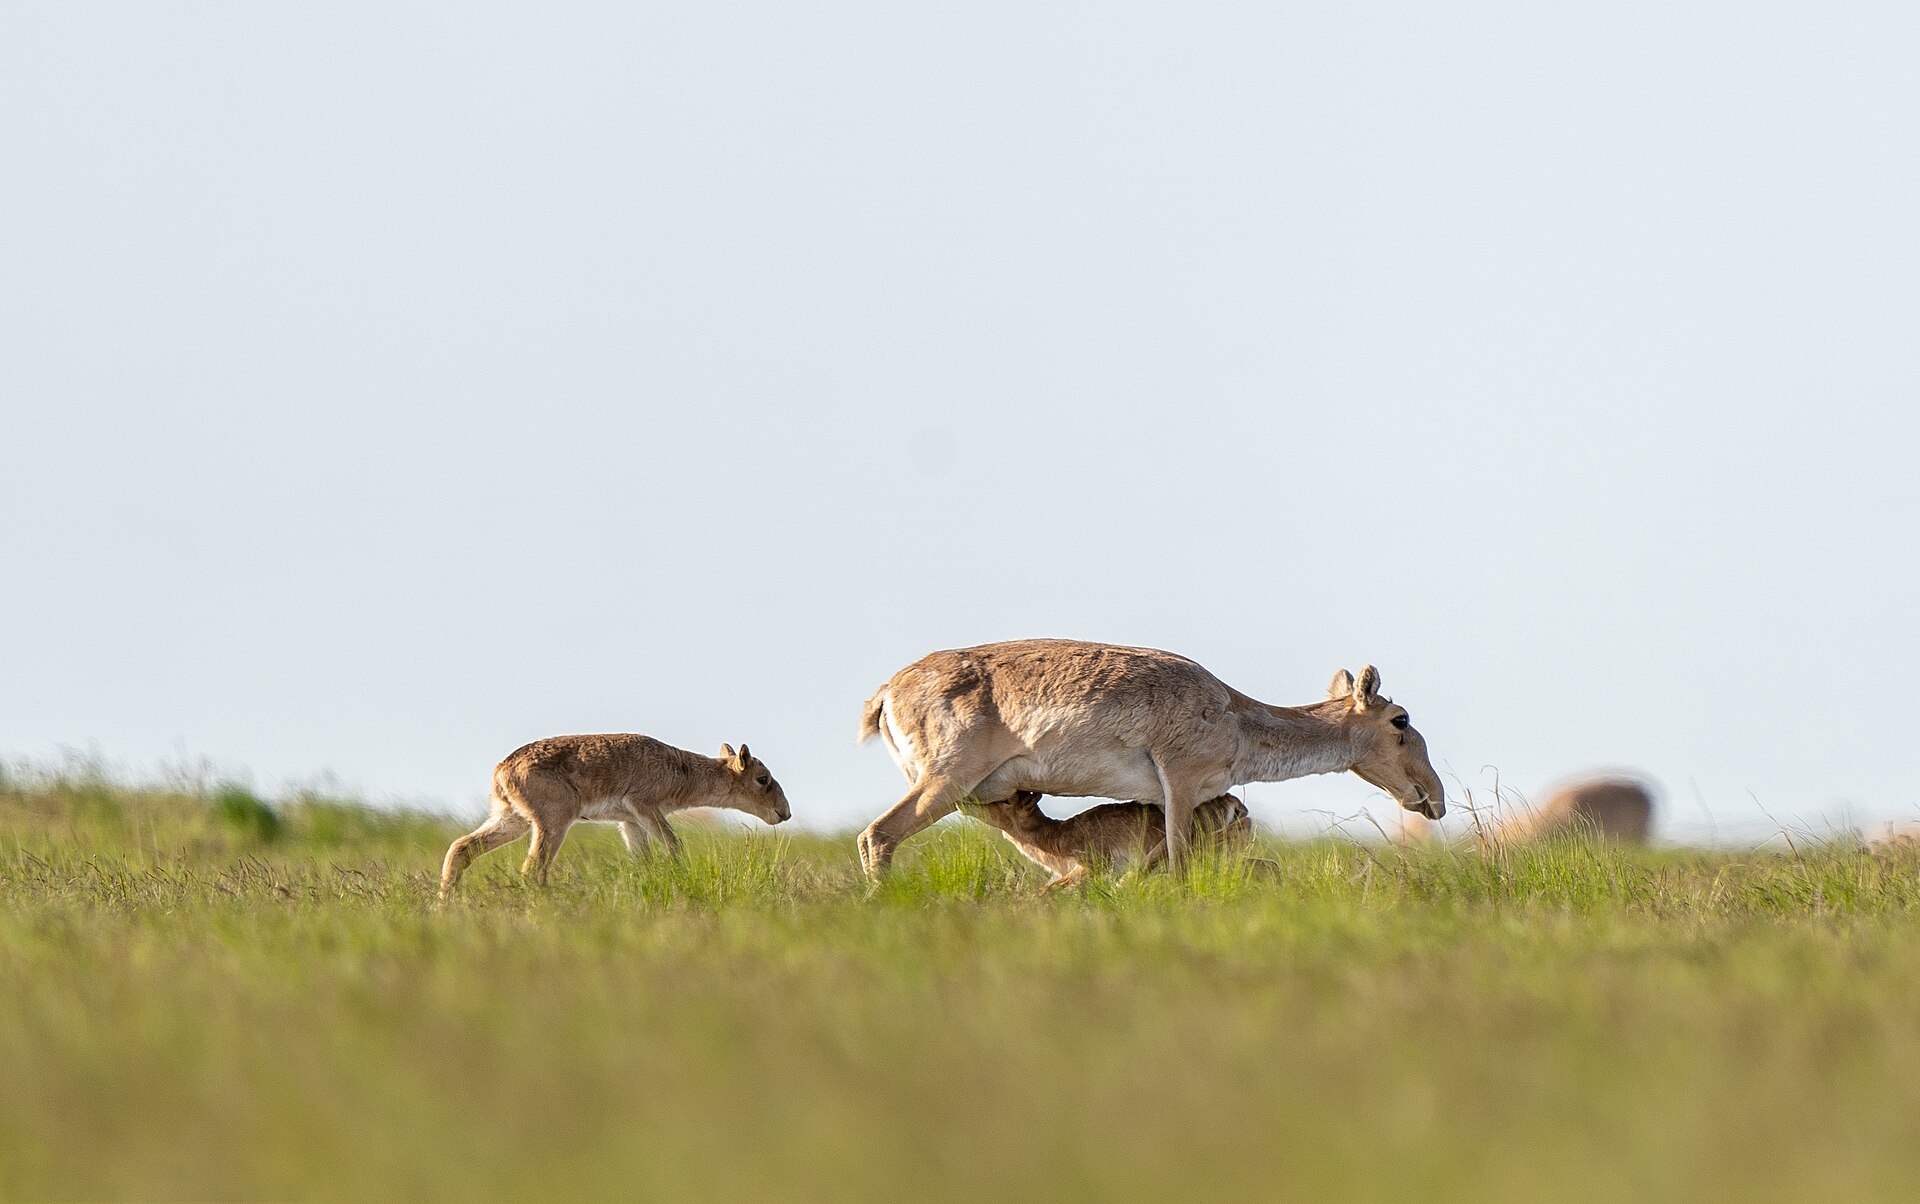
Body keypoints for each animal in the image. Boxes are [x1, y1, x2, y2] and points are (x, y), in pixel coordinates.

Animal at [439, 734, 790, 896]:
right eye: (762, 778)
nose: (784, 813)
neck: (682, 771)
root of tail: (502, 770)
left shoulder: (630, 821)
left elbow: (644, 860)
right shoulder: (644, 805)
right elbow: (674, 845)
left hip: (512, 819)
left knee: (460, 847)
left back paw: (446, 905)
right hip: (552, 821)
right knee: (532, 870)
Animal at [856, 639, 1443, 878]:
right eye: (1400, 720)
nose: (1435, 799)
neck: (1236, 719)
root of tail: (886, 691)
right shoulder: (1179, 785)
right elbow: (1179, 863)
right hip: (944, 781)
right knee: (877, 836)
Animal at [962, 791, 1254, 891]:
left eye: (1005, 800)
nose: (965, 800)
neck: (1055, 839)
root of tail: (1236, 804)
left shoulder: (1093, 865)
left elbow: (1046, 891)